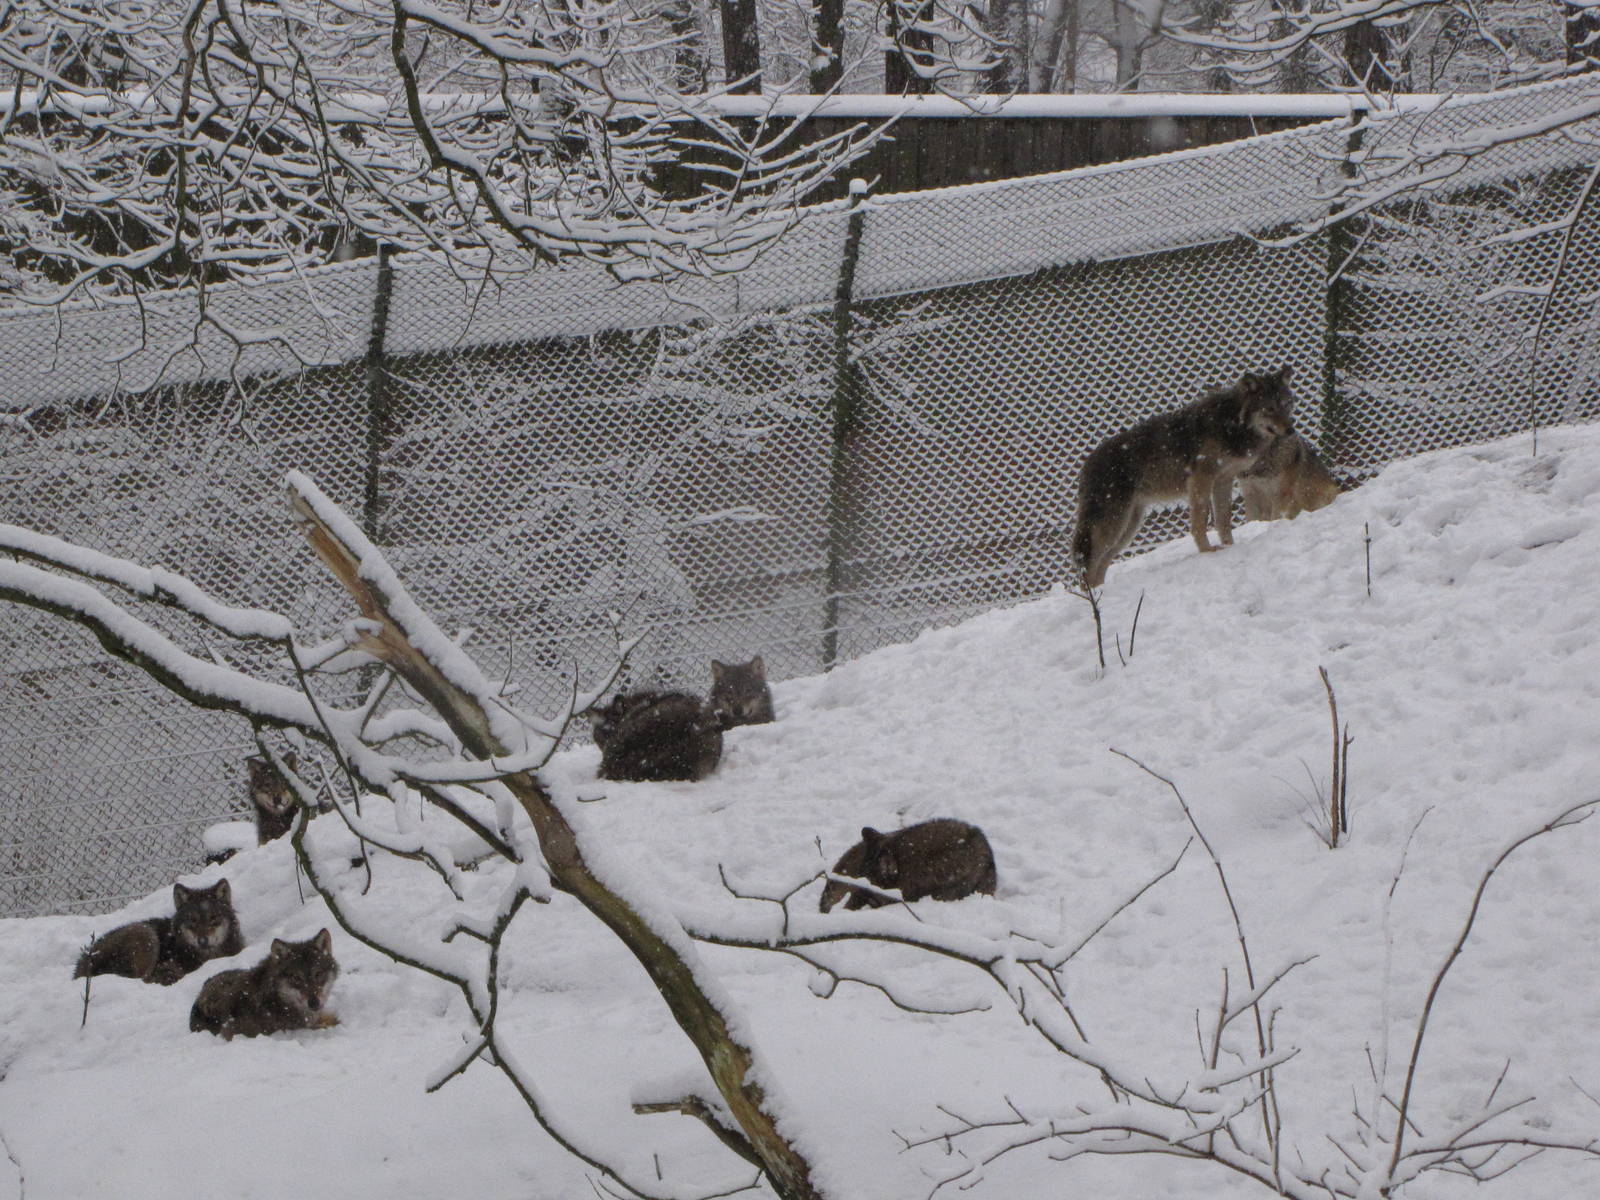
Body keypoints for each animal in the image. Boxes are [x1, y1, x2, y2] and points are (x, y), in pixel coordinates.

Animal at [1071, 366, 1296, 588]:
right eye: (1269, 408)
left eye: (1286, 405)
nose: (1291, 430)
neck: (1232, 423)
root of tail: (1087, 464)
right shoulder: (1201, 478)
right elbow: (1200, 521)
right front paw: (1207, 551)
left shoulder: (1223, 480)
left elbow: (1223, 520)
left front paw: (1229, 546)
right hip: (1114, 523)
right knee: (1089, 563)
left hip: (1128, 526)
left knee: (1102, 563)